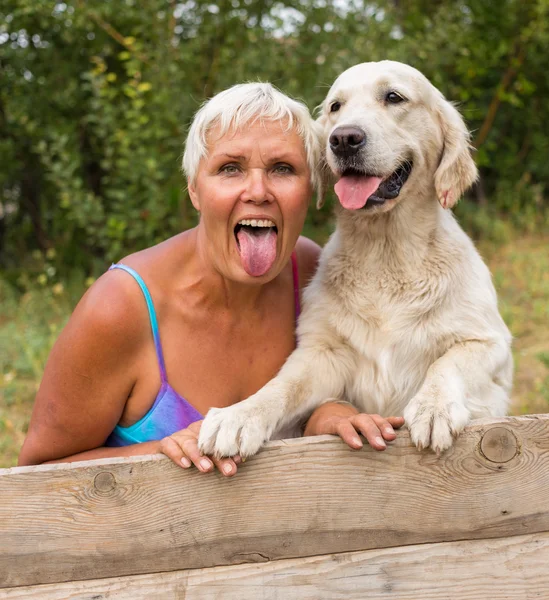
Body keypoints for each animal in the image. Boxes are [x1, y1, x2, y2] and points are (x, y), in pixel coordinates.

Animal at [198, 59, 512, 454]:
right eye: (336, 106)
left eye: (393, 97)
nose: (344, 139)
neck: (386, 253)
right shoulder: (323, 351)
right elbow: (282, 385)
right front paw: (239, 415)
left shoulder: (489, 342)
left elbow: (448, 363)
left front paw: (434, 407)